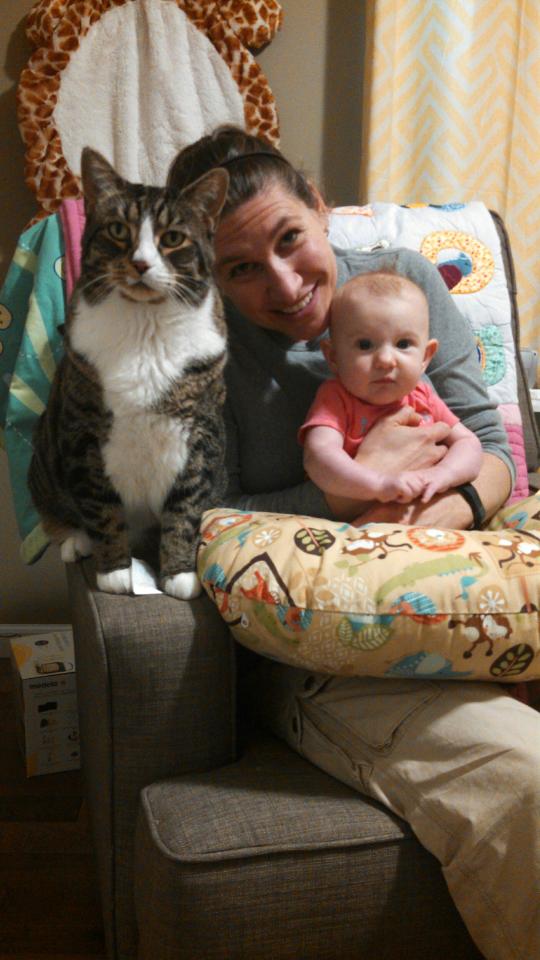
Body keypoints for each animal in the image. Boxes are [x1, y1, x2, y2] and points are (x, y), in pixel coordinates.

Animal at [28, 147, 229, 600]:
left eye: (172, 238)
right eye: (119, 229)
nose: (139, 263)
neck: (145, 328)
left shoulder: (200, 433)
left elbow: (185, 505)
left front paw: (178, 574)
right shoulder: (83, 432)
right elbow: (102, 508)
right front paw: (116, 572)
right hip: (43, 452)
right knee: (57, 509)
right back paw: (76, 541)